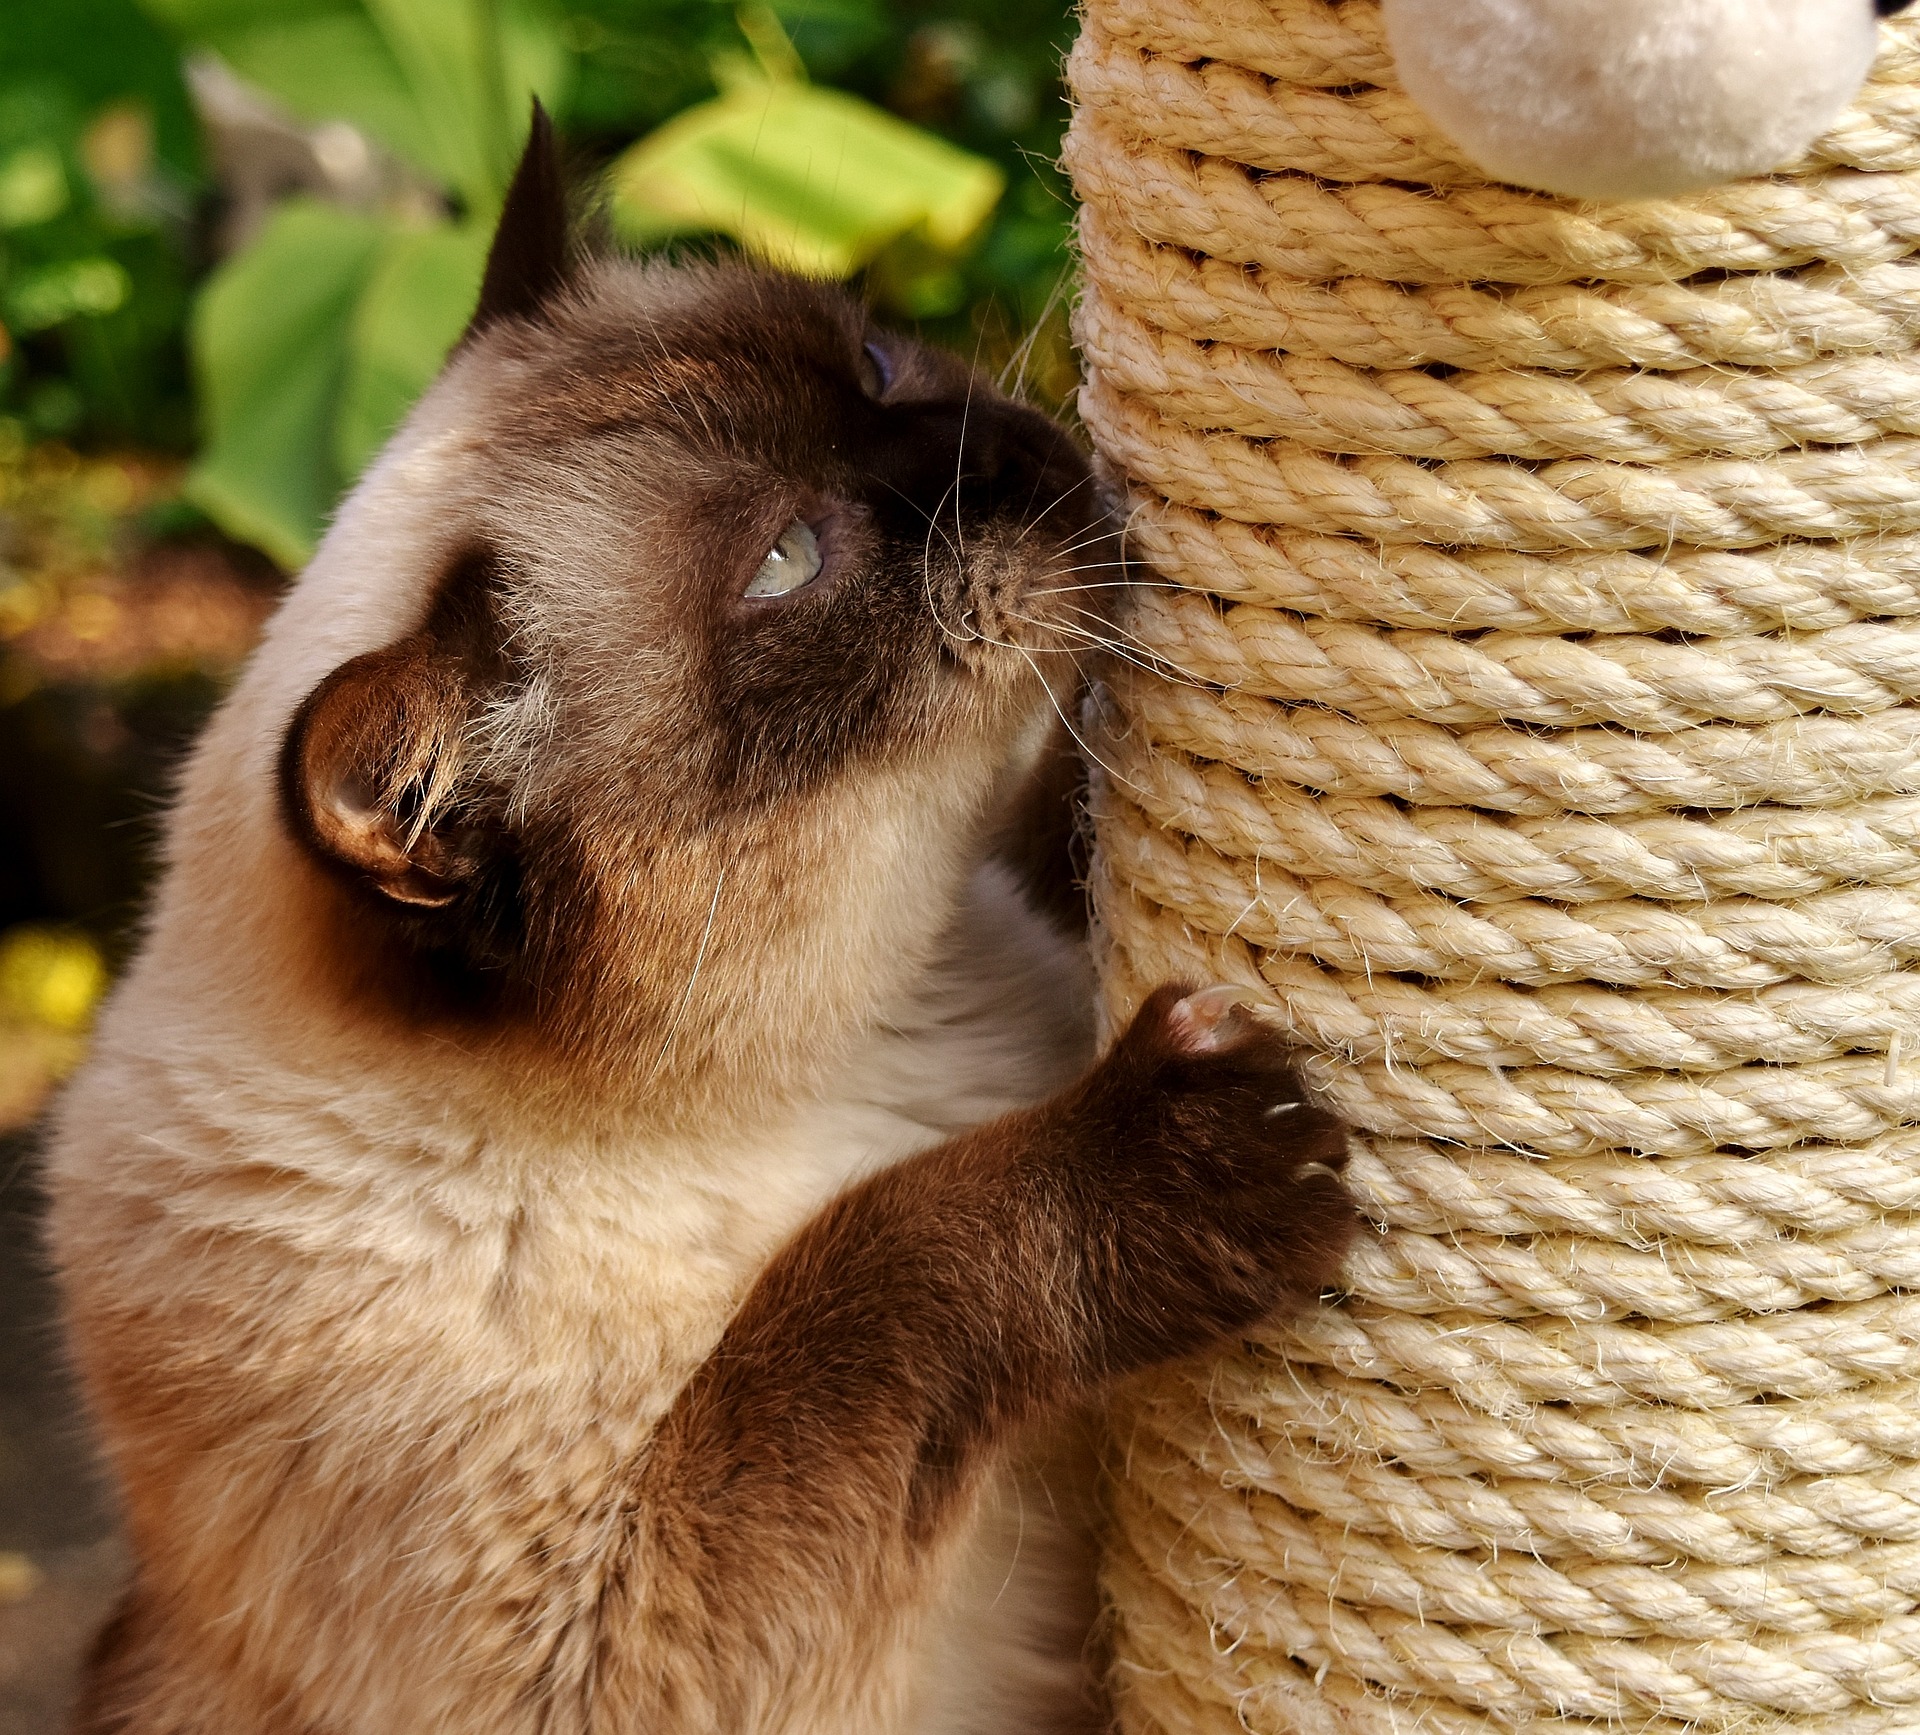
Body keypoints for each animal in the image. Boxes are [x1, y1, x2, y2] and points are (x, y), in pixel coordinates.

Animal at [37, 111, 1351, 1735]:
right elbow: (869, 1268)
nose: (1019, 456)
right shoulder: (621, 1634)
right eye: (789, 562)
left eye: (876, 364)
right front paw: (1199, 1146)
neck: (878, 1026)